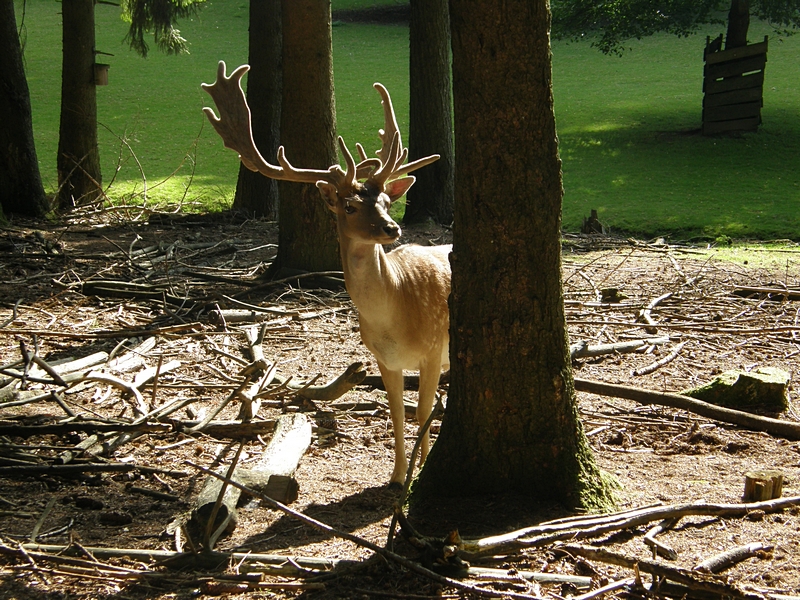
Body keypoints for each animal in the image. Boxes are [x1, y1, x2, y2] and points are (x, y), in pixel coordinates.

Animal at [200, 61, 450, 486]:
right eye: (349, 206)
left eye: (387, 201)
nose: (392, 228)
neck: (395, 314)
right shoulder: (384, 358)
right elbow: (397, 413)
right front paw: (397, 474)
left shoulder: (432, 347)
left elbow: (420, 412)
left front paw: (416, 474)